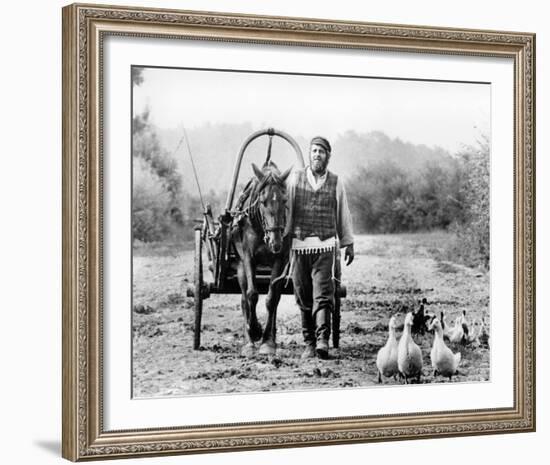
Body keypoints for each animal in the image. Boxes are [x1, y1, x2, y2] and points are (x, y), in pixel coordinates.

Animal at [232, 160, 296, 356]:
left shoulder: (280, 259)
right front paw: (254, 331)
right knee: (244, 298)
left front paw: (268, 342)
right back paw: (248, 339)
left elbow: (272, 298)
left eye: (285, 200)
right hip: (240, 267)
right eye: (262, 201)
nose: (275, 242)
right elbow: (252, 295)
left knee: (274, 299)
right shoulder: (248, 257)